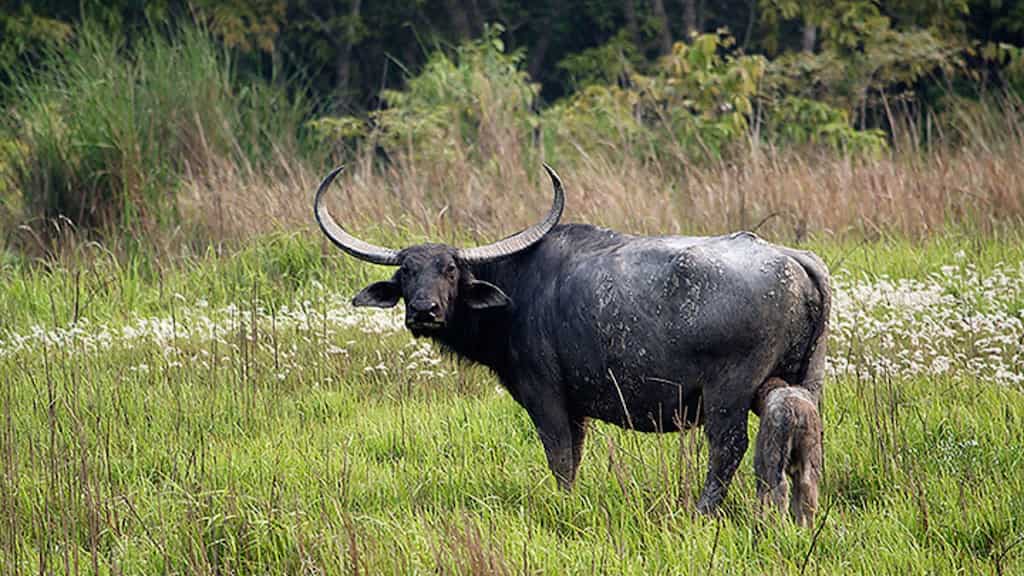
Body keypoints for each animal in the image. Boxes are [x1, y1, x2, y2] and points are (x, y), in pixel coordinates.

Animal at [315, 165, 830, 514]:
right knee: (801, 437)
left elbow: (561, 457)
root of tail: (791, 257)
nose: (424, 312)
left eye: (450, 270)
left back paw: (702, 510)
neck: (516, 292)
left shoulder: (546, 397)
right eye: (406, 271)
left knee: (728, 447)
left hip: (729, 393)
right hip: (800, 383)